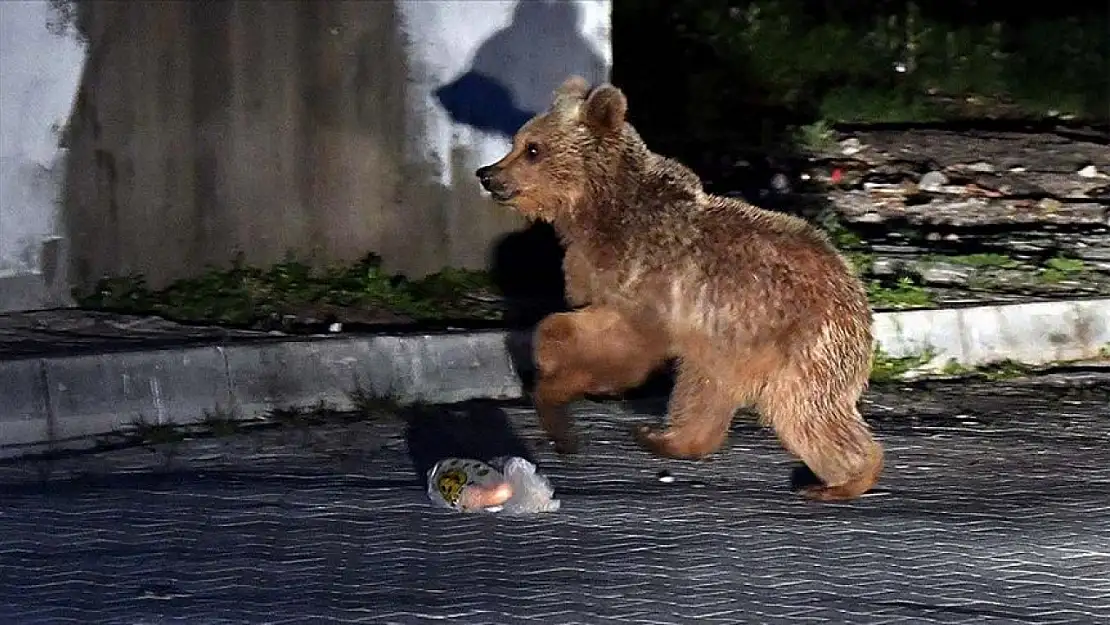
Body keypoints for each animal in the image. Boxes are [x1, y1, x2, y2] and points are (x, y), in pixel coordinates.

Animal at [475, 76, 883, 501]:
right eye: (517, 141)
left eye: (532, 148)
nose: (487, 173)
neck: (597, 214)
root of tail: (858, 295)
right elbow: (576, 323)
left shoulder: (647, 281)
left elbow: (619, 342)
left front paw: (565, 387)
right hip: (729, 344)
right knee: (707, 391)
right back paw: (665, 438)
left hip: (801, 342)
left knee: (803, 409)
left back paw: (847, 478)